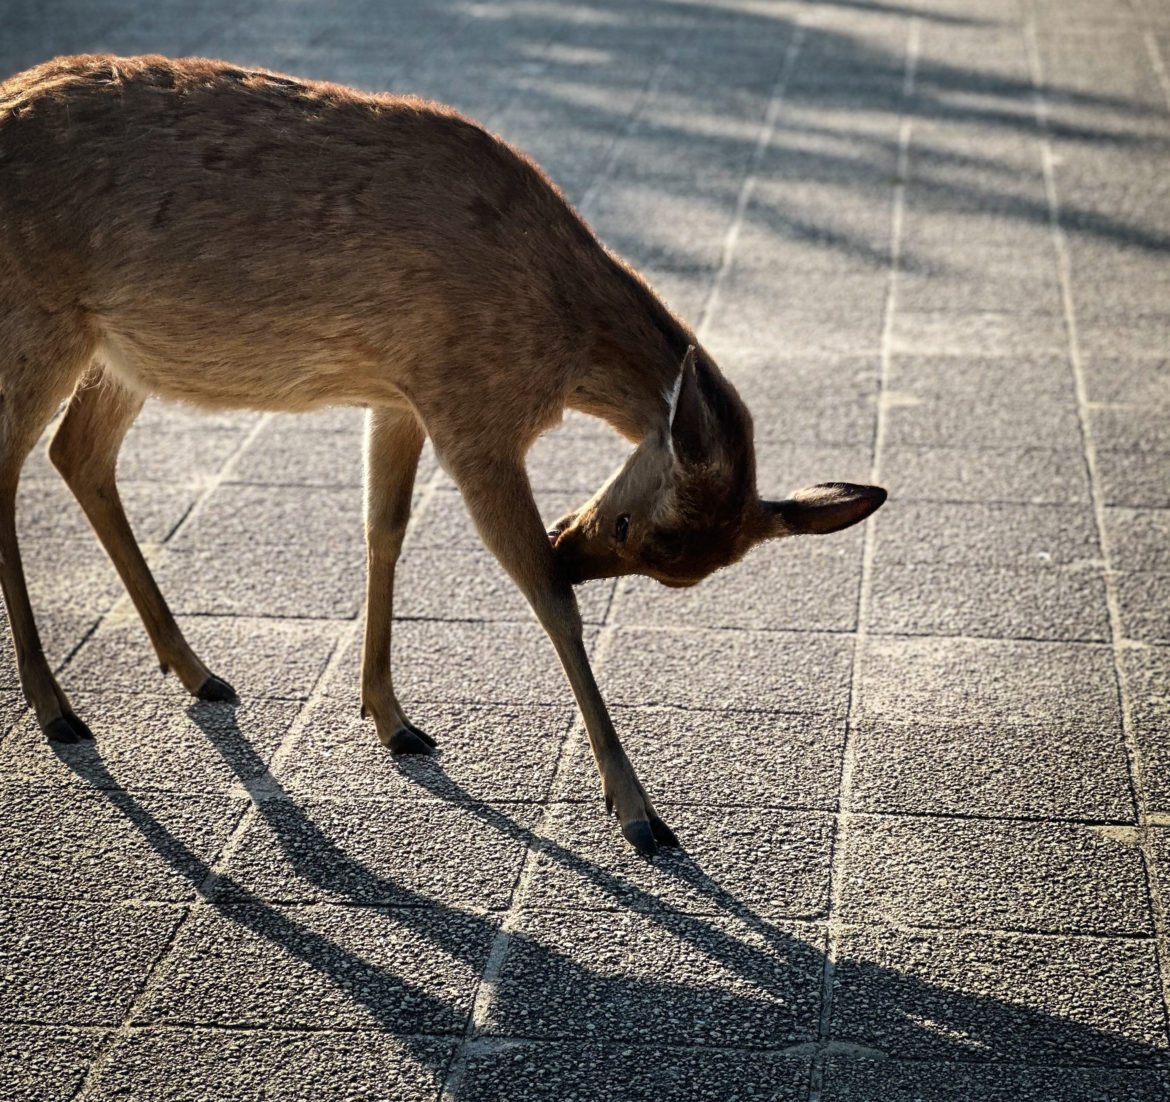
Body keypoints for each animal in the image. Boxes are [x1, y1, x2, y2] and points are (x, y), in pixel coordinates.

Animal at [0, 55, 886, 854]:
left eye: (684, 574)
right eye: (635, 528)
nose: (575, 549)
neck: (558, 346)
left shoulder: (402, 394)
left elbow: (384, 529)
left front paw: (391, 717)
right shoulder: (472, 410)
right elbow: (544, 599)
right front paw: (638, 812)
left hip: (121, 352)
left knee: (79, 451)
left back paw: (196, 669)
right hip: (37, 315)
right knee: (15, 464)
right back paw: (57, 709)